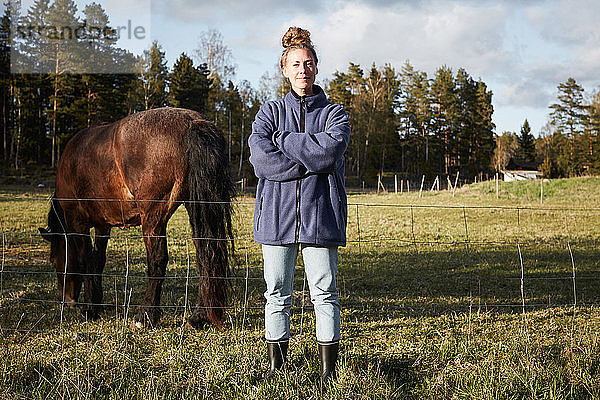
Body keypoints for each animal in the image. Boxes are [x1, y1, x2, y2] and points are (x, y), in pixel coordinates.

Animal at [39, 107, 234, 328]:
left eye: (54, 260)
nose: (67, 299)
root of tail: (193, 123)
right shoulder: (102, 226)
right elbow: (98, 260)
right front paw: (96, 304)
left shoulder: (77, 222)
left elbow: (86, 261)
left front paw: (89, 309)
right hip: (195, 208)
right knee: (205, 254)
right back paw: (198, 317)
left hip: (153, 217)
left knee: (158, 261)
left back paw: (145, 315)